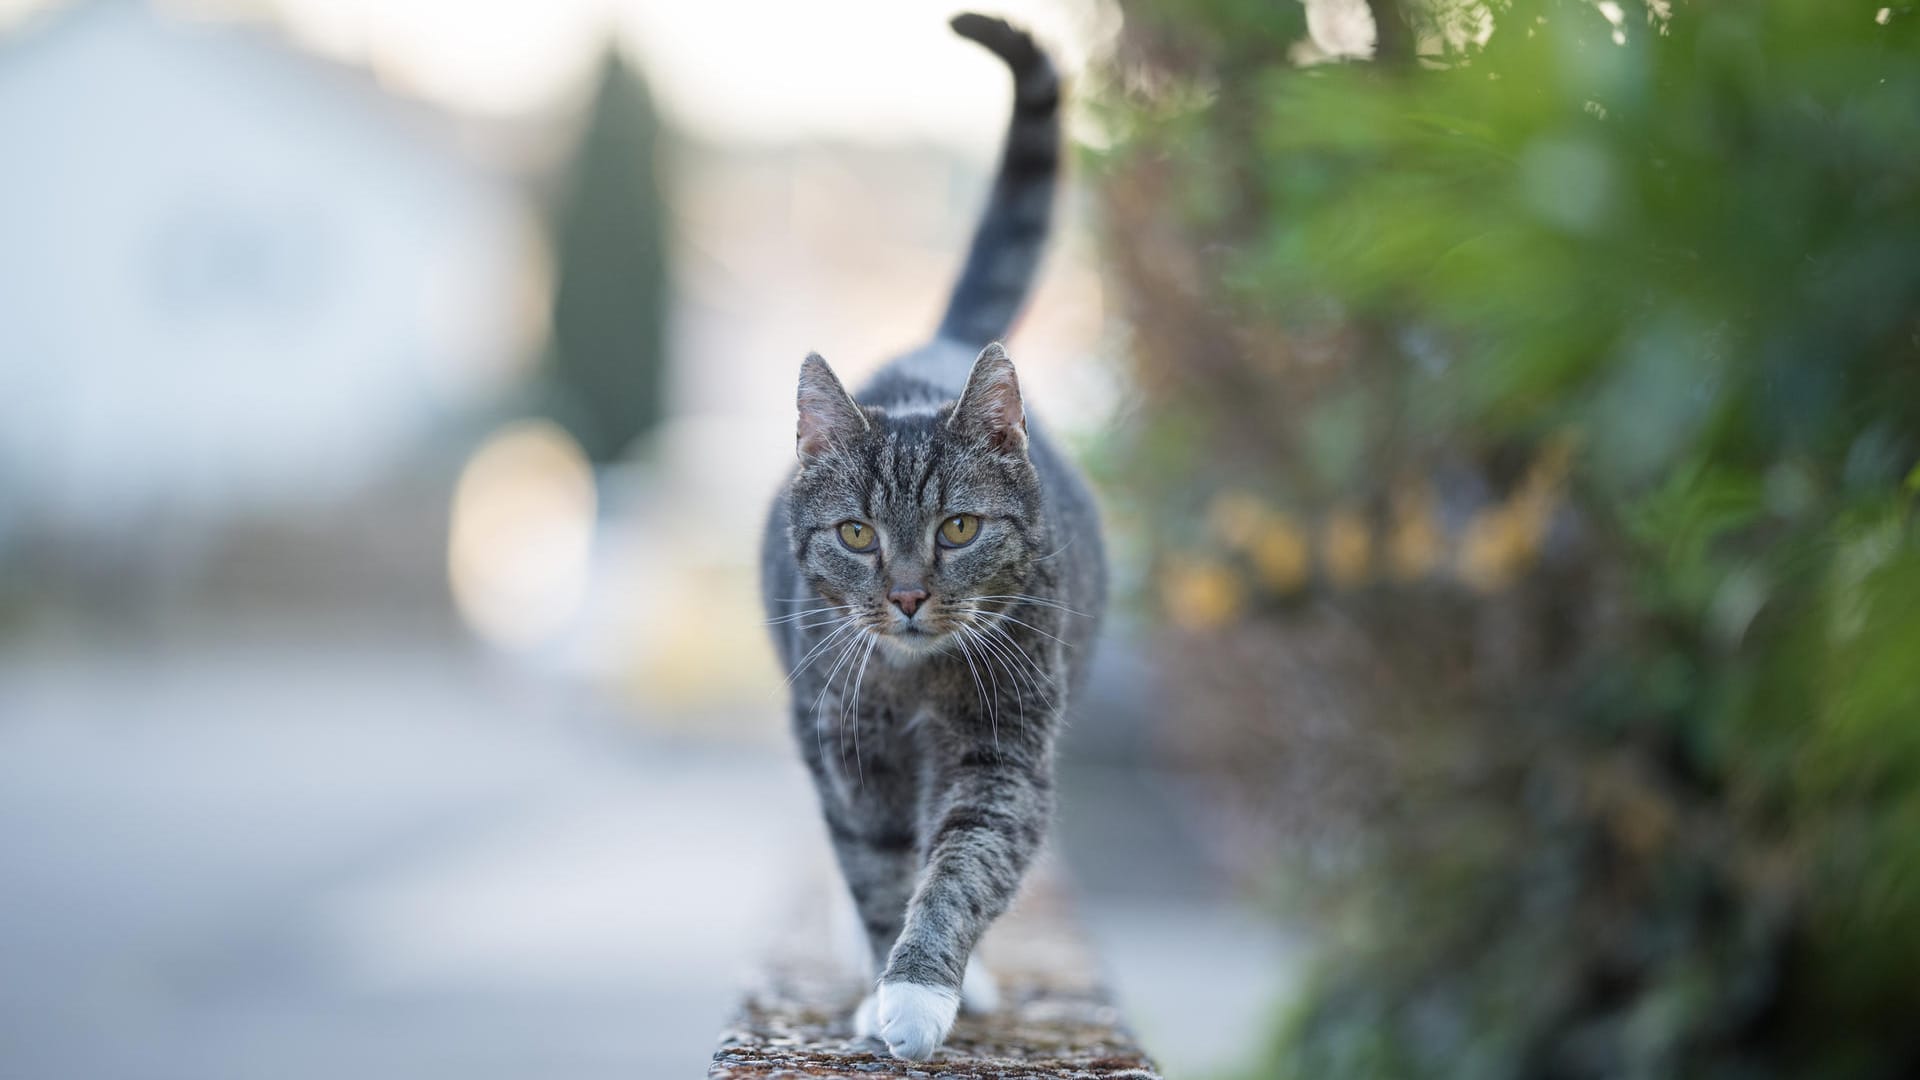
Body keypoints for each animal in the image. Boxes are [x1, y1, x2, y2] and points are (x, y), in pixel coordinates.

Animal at [756, 12, 1105, 1060]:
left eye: (958, 527)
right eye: (857, 533)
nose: (908, 596)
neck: (915, 684)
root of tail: (936, 347)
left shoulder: (1006, 751)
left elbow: (961, 868)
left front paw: (920, 991)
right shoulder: (847, 747)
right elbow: (876, 871)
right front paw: (884, 990)